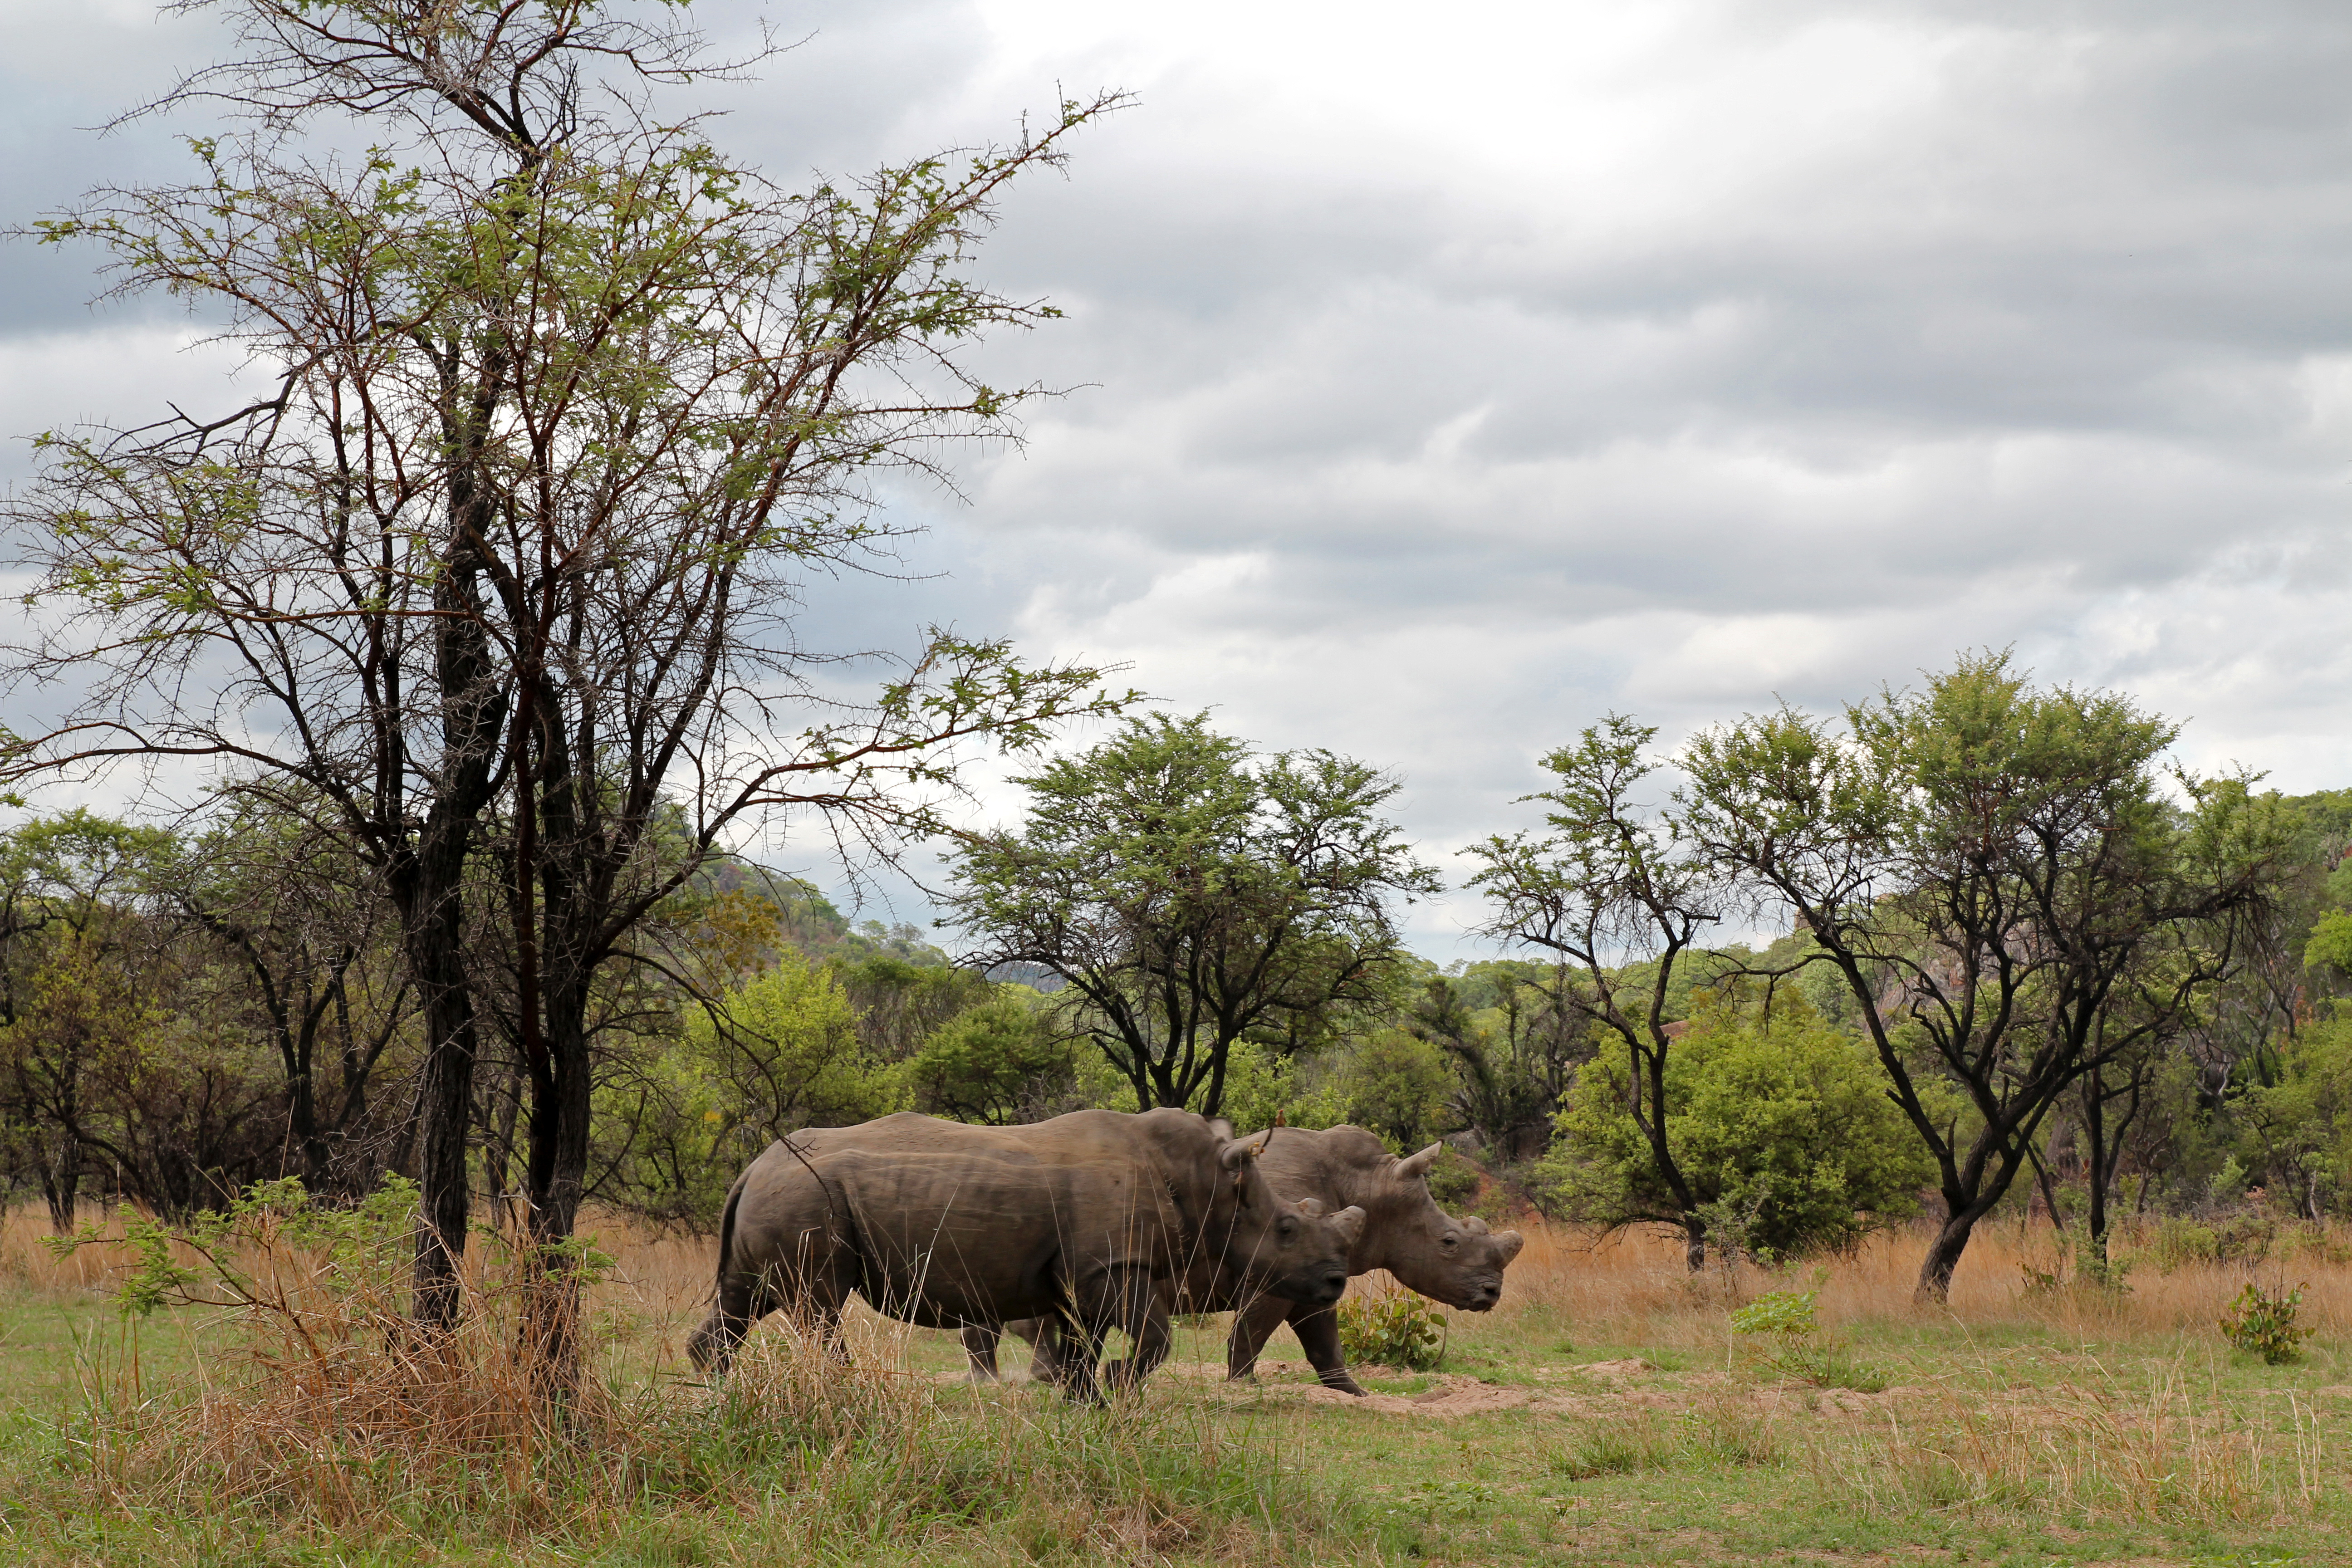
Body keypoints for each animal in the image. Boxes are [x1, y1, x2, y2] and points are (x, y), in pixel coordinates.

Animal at [685, 1109, 1365, 1400]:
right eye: (1286, 1229)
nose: (1335, 1282)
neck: (1203, 1180)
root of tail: (751, 1169)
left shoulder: (1085, 1271)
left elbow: (1081, 1342)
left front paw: (1084, 1399)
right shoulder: (1114, 1265)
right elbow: (1154, 1337)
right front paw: (1117, 1389)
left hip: (781, 1198)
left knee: (746, 1299)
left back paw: (712, 1391)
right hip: (805, 1198)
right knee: (818, 1305)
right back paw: (842, 1390)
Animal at [965, 1125, 1526, 1396]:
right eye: (1449, 1242)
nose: (1493, 1294)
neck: (1370, 1184)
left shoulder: (1317, 1273)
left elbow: (1325, 1340)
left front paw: (1354, 1394)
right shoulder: (1276, 1272)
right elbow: (1252, 1332)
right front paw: (1244, 1388)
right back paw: (1012, 1382)